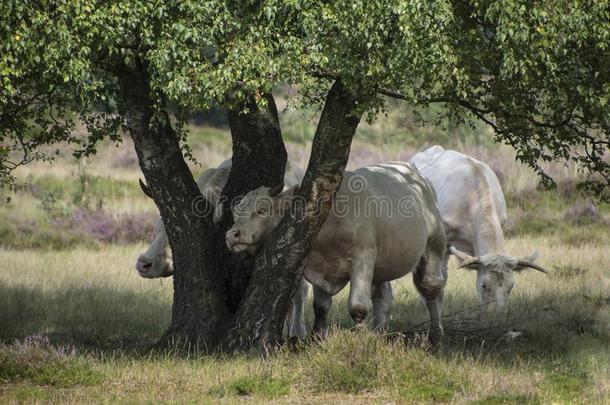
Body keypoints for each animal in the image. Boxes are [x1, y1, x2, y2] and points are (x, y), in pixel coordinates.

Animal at [226, 162, 444, 340]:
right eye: (236, 213)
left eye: (261, 210)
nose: (231, 235)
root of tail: (415, 175)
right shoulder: (318, 265)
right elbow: (321, 307)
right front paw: (318, 337)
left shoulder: (363, 258)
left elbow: (358, 306)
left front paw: (359, 337)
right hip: (382, 266)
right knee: (383, 297)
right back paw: (379, 333)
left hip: (434, 246)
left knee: (431, 289)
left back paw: (435, 335)